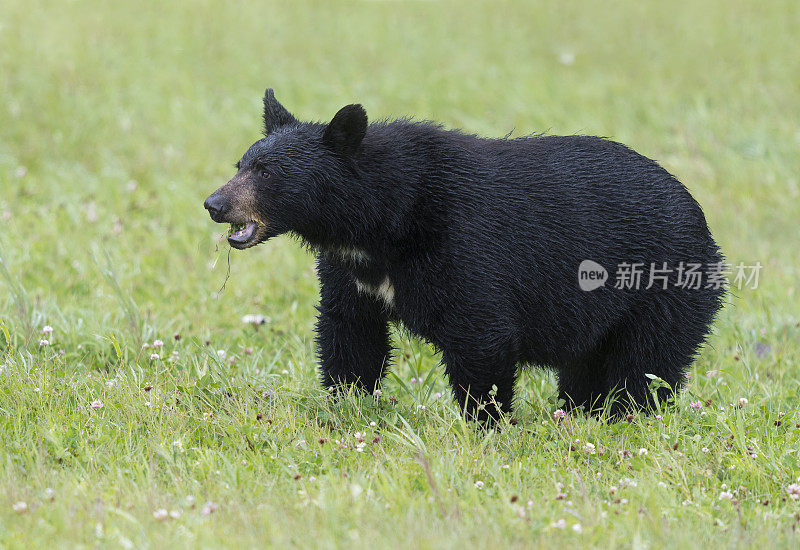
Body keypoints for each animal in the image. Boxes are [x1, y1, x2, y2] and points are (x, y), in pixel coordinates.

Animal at [205, 89, 724, 422]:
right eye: (240, 165)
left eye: (267, 173)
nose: (214, 203)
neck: (380, 225)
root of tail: (703, 221)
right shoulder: (351, 272)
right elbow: (350, 334)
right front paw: (345, 405)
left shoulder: (463, 247)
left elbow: (480, 336)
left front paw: (485, 422)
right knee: (587, 369)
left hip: (660, 287)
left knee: (644, 364)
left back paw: (623, 416)